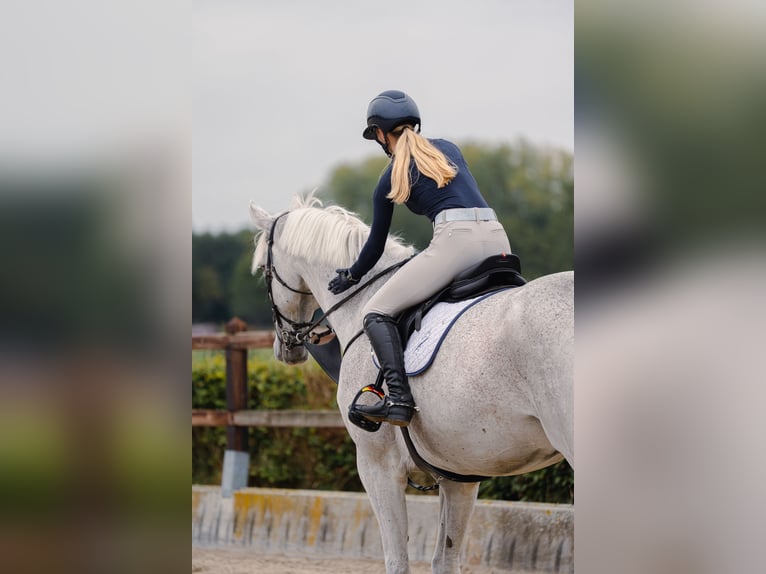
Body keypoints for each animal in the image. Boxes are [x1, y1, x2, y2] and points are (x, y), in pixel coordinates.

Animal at [249, 193, 573, 574]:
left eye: (263, 270)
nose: (286, 348)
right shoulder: (458, 474)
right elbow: (445, 559)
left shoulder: (377, 466)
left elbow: (397, 559)